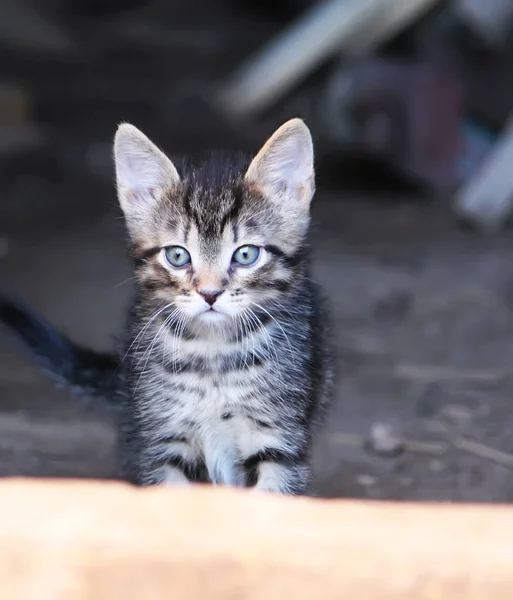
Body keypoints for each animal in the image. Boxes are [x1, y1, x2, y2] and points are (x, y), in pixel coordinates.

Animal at [0, 119, 334, 494]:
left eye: (246, 254)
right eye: (177, 255)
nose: (210, 293)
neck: (214, 354)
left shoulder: (278, 437)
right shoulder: (163, 438)